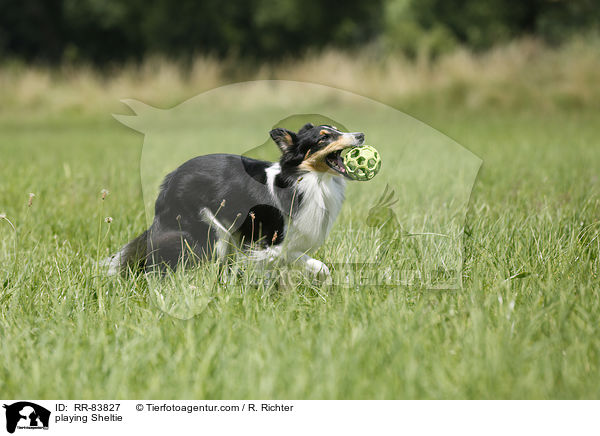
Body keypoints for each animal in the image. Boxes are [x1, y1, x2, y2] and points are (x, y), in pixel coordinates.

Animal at [105, 122, 364, 280]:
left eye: (336, 130)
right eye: (324, 138)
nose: (361, 135)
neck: (306, 180)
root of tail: (169, 181)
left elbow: (320, 268)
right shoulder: (270, 244)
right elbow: (313, 264)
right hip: (212, 234)